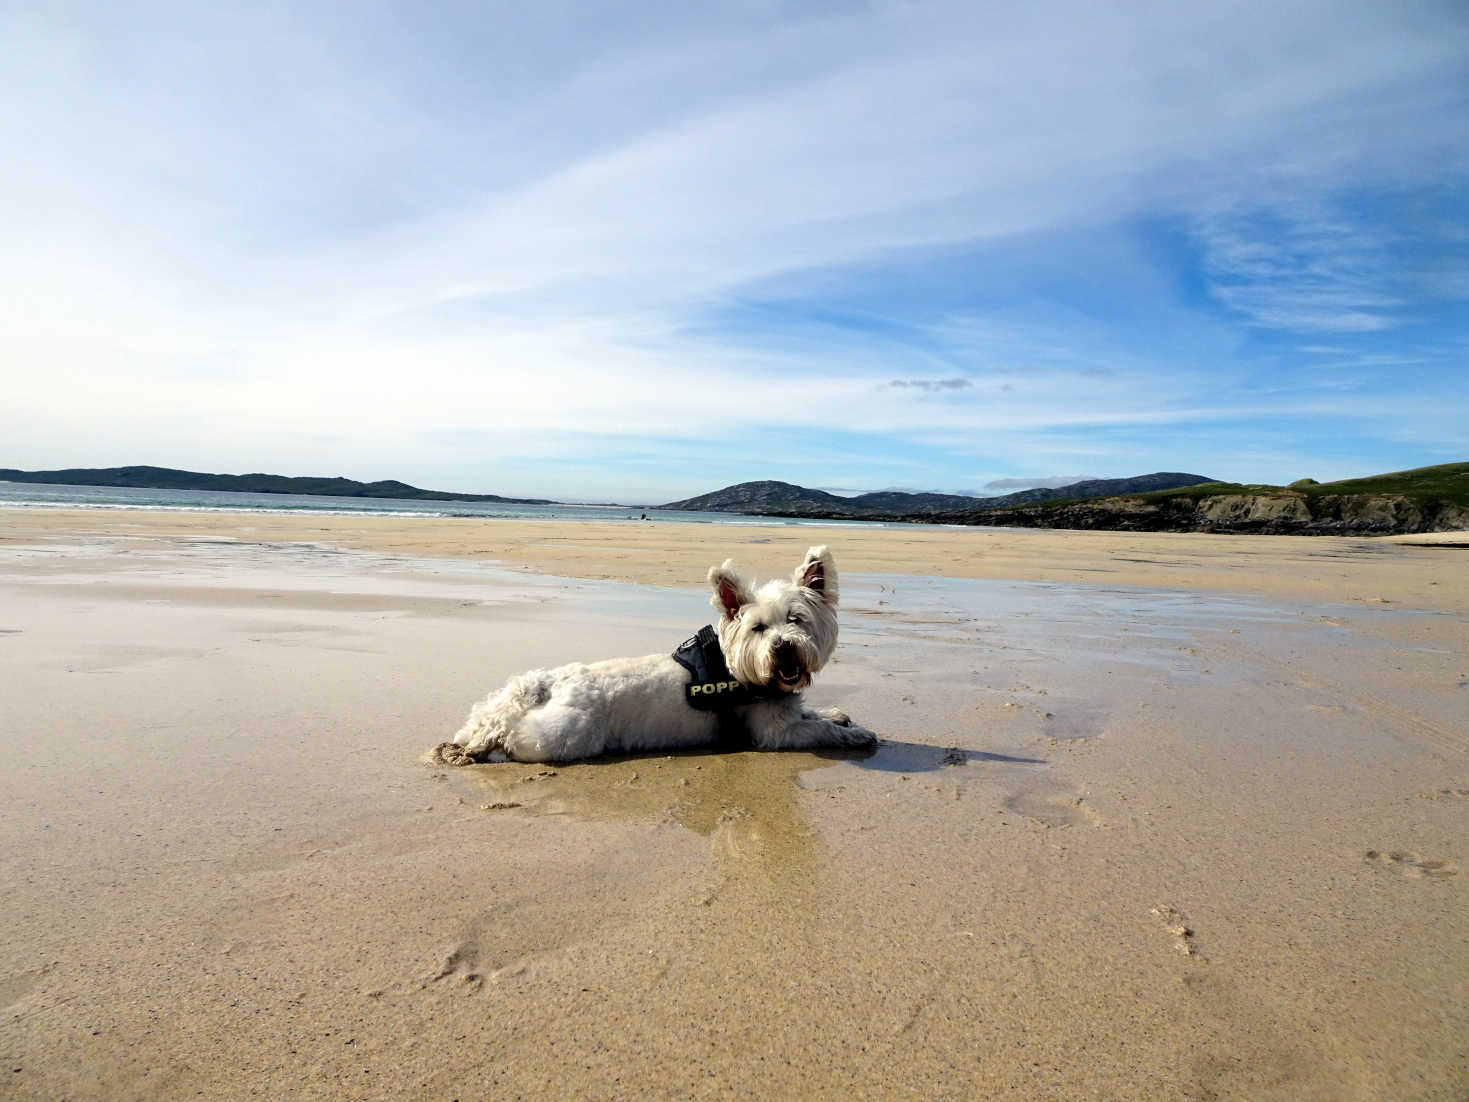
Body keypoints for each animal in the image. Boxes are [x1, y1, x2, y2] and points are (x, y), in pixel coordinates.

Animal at [428, 546, 875, 769]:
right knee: (511, 734)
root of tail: (545, 684)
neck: (744, 673)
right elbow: (818, 730)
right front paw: (856, 734)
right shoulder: (775, 731)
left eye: (795, 620)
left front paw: (836, 712)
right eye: (758, 628)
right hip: (559, 735)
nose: (783, 647)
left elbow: (813, 713)